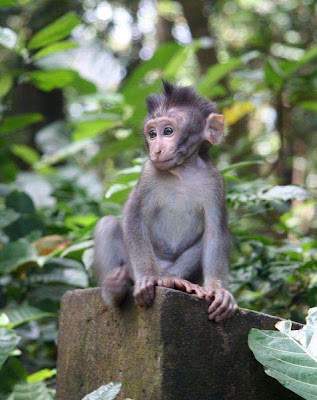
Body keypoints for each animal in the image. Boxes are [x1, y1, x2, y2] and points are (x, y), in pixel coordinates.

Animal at [94, 80, 237, 322]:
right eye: (152, 134)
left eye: (168, 131)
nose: (156, 149)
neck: (182, 172)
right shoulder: (148, 174)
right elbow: (133, 216)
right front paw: (147, 278)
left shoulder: (215, 182)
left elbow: (216, 232)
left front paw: (219, 290)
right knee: (109, 224)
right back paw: (117, 288)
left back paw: (174, 280)